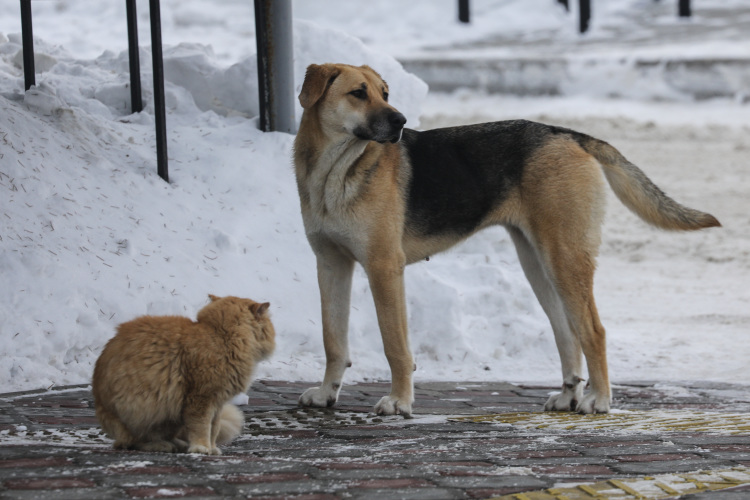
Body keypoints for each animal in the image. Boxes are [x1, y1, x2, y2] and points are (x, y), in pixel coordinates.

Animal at [92, 294, 276, 456]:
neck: (221, 335)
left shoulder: (217, 403)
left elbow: (214, 429)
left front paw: (212, 448)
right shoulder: (200, 400)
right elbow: (202, 428)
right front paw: (201, 448)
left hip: (171, 416)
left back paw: (178, 444)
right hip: (142, 411)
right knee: (132, 442)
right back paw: (162, 445)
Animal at [294, 62, 724, 418]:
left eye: (385, 92)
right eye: (358, 93)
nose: (399, 121)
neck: (335, 172)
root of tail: (567, 134)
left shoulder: (384, 268)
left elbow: (395, 346)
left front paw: (399, 402)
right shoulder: (331, 265)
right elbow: (333, 339)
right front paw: (326, 393)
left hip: (564, 259)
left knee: (594, 332)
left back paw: (598, 399)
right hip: (539, 265)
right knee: (568, 333)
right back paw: (568, 396)